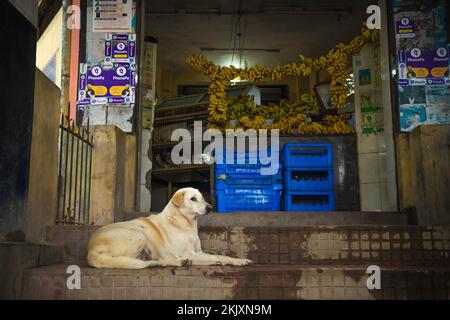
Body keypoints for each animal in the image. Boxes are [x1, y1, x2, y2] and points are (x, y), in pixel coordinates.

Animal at [86, 186, 251, 268]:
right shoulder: (189, 253)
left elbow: (219, 256)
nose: (210, 207)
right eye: (193, 199)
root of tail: (91, 249)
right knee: (132, 261)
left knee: (154, 261)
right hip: (139, 235)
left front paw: (239, 260)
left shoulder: (197, 252)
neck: (185, 223)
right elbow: (215, 257)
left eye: (202, 198)